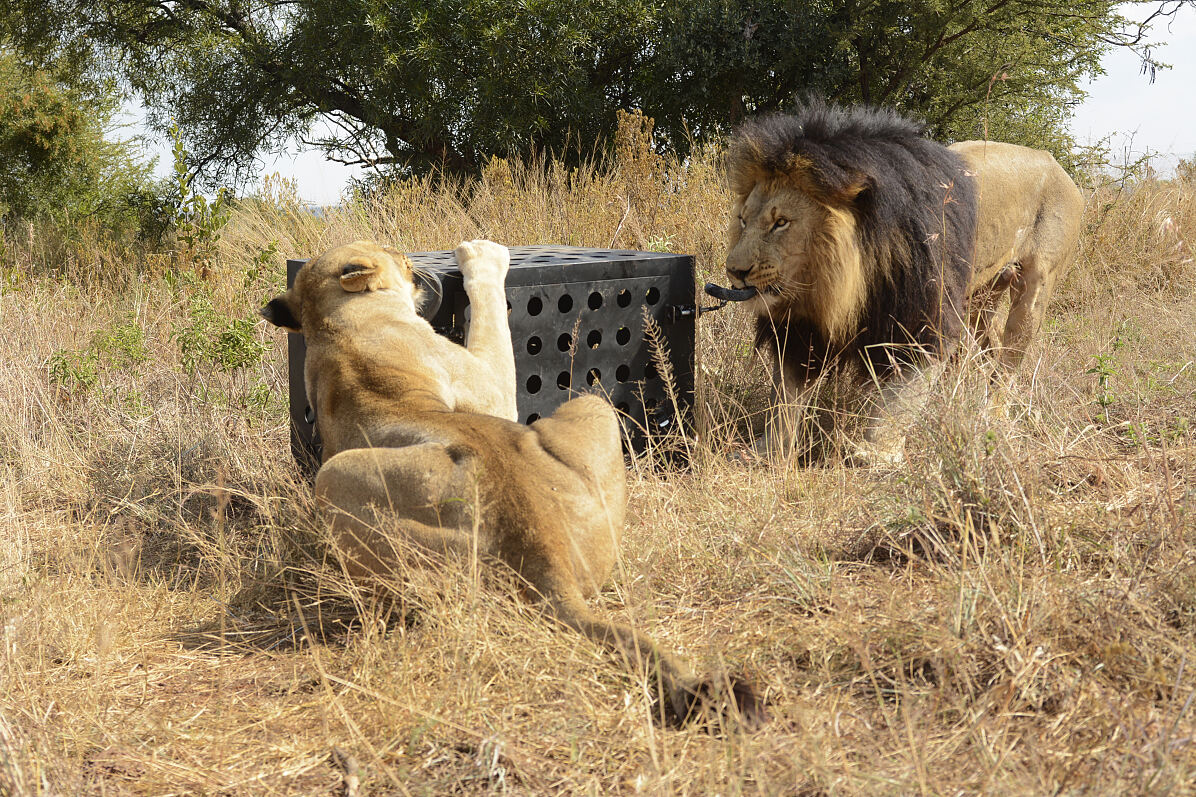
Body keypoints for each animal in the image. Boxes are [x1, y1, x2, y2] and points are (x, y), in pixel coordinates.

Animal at [261, 240, 763, 728]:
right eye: (401, 259)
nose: (414, 267)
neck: (332, 323)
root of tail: (540, 542)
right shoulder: (484, 386)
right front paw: (482, 255)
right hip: (339, 479)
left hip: (592, 411)